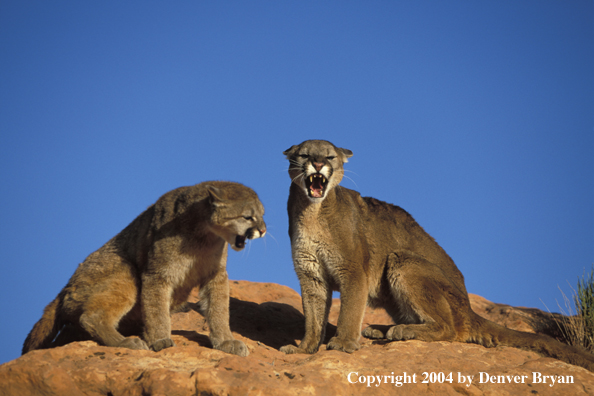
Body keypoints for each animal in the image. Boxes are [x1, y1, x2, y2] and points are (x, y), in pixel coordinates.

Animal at [22, 181, 264, 358]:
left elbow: (219, 309)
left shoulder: (215, 275)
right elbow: (156, 309)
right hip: (126, 272)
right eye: (248, 217)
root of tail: (64, 289)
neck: (205, 235)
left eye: (262, 215)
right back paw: (127, 342)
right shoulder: (157, 273)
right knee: (90, 317)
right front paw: (160, 340)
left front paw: (225, 341)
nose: (263, 230)